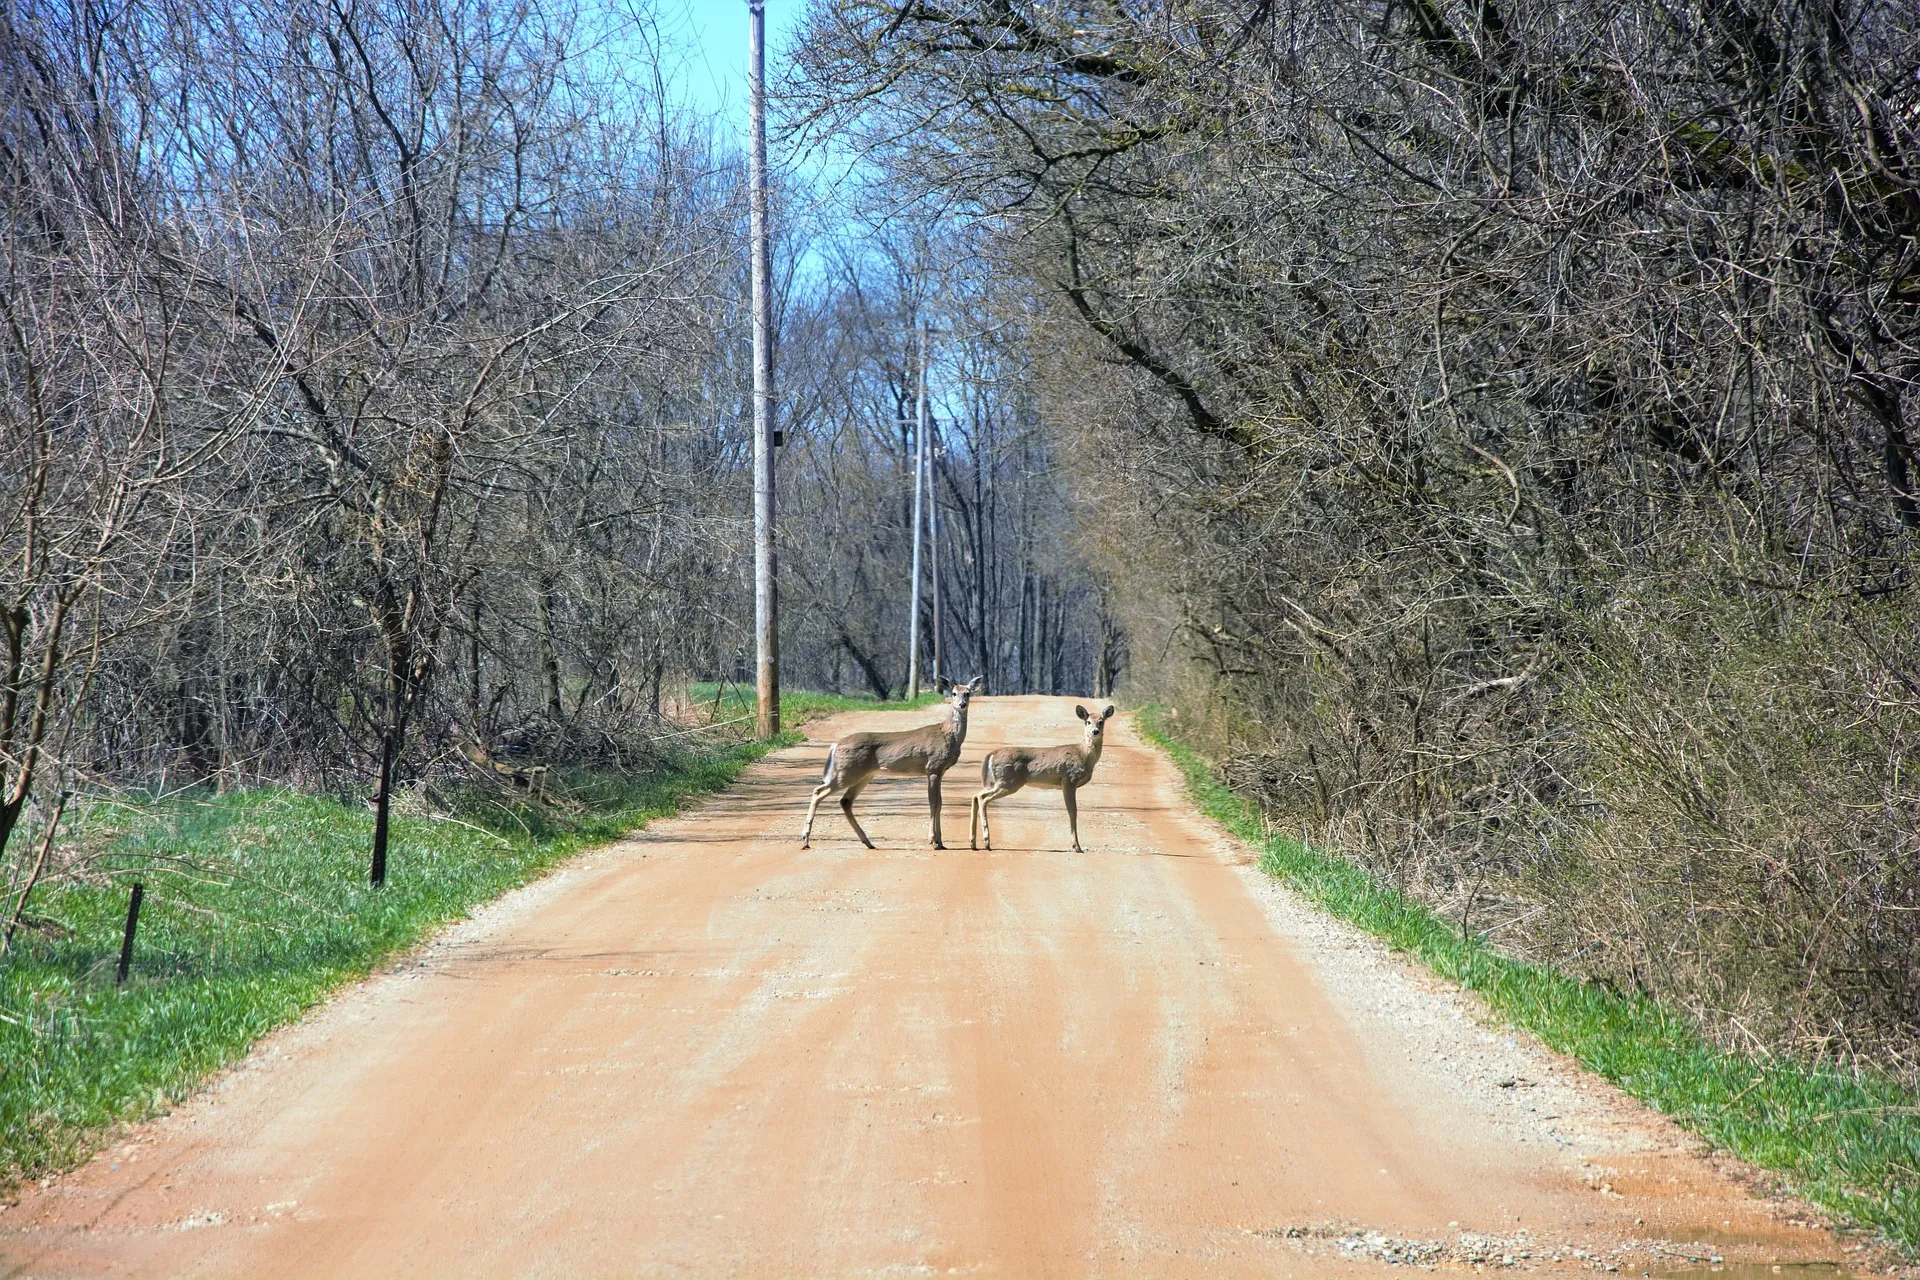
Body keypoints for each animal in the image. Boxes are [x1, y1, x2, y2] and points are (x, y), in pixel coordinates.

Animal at [800, 676, 984, 850]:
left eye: (968, 693)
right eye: (953, 693)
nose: (962, 704)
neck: (947, 734)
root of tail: (835, 745)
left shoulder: (939, 771)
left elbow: (939, 803)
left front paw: (941, 842)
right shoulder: (933, 767)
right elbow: (934, 803)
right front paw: (933, 841)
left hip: (864, 775)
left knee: (845, 801)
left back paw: (868, 842)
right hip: (847, 772)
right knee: (818, 791)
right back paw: (805, 839)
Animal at [970, 703, 1116, 853]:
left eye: (1101, 721)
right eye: (1088, 722)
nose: (1095, 731)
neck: (1083, 755)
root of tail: (991, 754)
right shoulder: (1069, 780)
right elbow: (1073, 812)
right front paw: (1077, 846)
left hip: (997, 782)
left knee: (976, 795)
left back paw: (973, 843)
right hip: (1008, 781)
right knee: (982, 798)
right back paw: (986, 842)